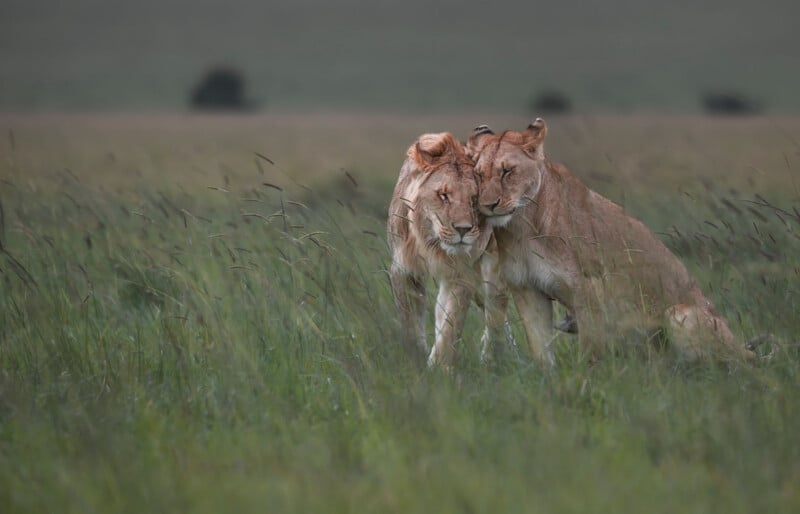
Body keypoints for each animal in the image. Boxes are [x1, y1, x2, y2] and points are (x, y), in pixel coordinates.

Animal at [387, 132, 509, 369]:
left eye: (474, 199)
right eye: (443, 195)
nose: (463, 229)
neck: (431, 241)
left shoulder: (461, 275)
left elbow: (450, 326)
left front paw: (439, 368)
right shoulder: (404, 269)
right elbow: (409, 321)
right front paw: (416, 359)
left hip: (493, 274)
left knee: (496, 312)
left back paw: (493, 359)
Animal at [466, 119, 757, 364]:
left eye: (507, 171)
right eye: (478, 175)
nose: (488, 205)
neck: (523, 227)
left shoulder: (589, 290)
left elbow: (590, 352)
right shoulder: (527, 290)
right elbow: (541, 353)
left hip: (681, 314)